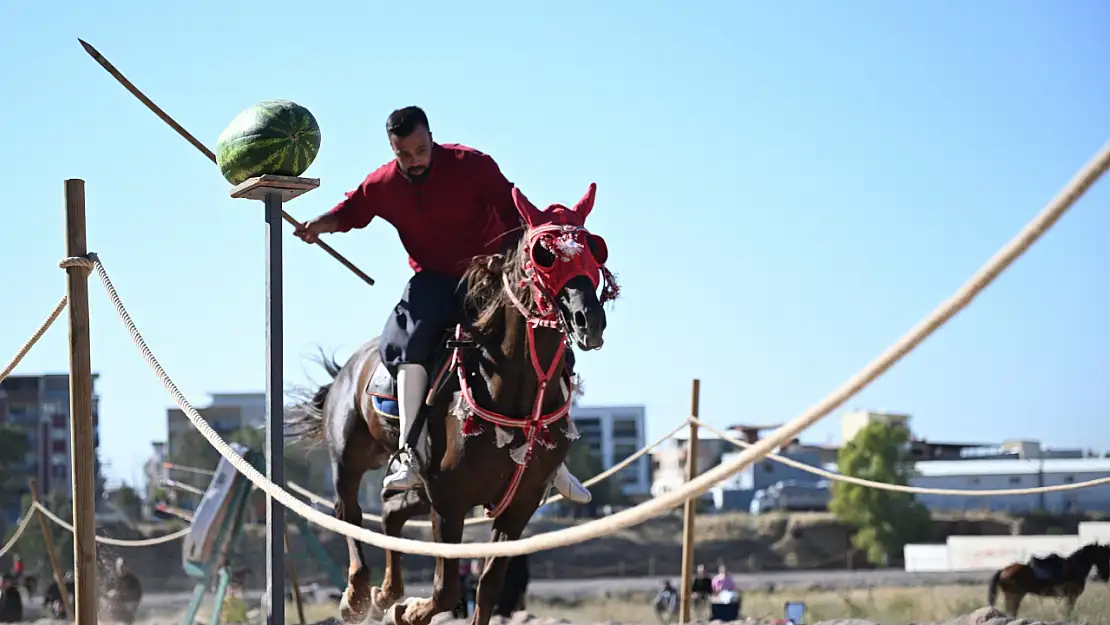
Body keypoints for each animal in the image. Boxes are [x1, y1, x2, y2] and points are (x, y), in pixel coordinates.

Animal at [286, 183, 617, 625]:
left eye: (594, 250)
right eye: (543, 253)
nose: (588, 320)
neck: (511, 392)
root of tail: (348, 367)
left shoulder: (520, 503)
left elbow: (488, 588)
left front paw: (404, 605)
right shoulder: (449, 498)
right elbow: (445, 590)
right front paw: (410, 611)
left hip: (418, 485)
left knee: (390, 508)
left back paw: (387, 592)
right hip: (349, 455)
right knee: (348, 511)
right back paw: (357, 593)